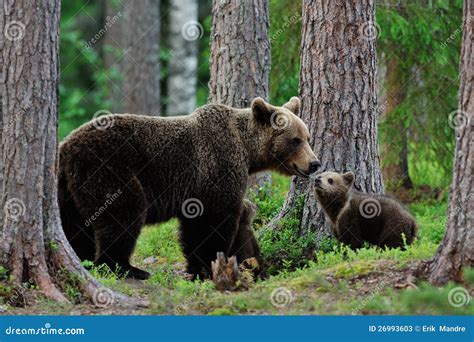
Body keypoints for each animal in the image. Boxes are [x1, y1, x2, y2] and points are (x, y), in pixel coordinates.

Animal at [58, 97, 318, 280]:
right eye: (295, 140)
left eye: (307, 137)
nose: (314, 163)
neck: (247, 150)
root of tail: (67, 146)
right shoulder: (217, 166)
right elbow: (214, 221)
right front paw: (209, 265)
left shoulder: (195, 190)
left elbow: (194, 227)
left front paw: (198, 268)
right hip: (109, 170)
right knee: (125, 213)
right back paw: (125, 267)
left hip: (67, 187)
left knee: (74, 223)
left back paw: (83, 258)